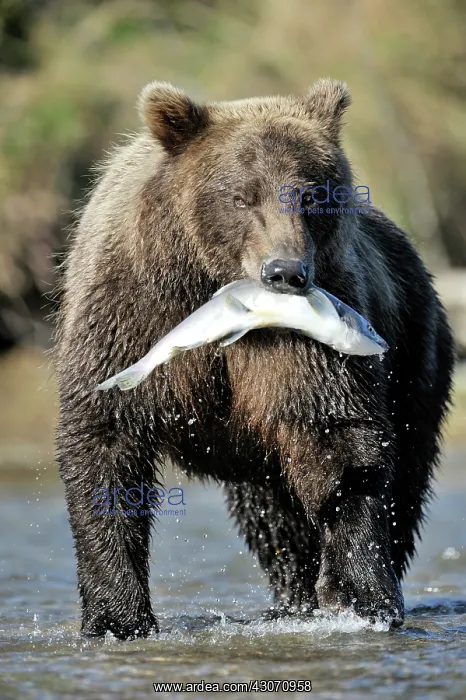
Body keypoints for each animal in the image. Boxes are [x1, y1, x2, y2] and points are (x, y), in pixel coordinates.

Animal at [55, 79, 454, 640]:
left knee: (403, 478)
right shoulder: (130, 313)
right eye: (241, 196)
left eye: (310, 194)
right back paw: (292, 599)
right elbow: (106, 443)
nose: (285, 271)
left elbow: (339, 443)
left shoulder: (307, 342)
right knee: (273, 516)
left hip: (416, 347)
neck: (210, 282)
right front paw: (117, 617)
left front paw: (362, 598)